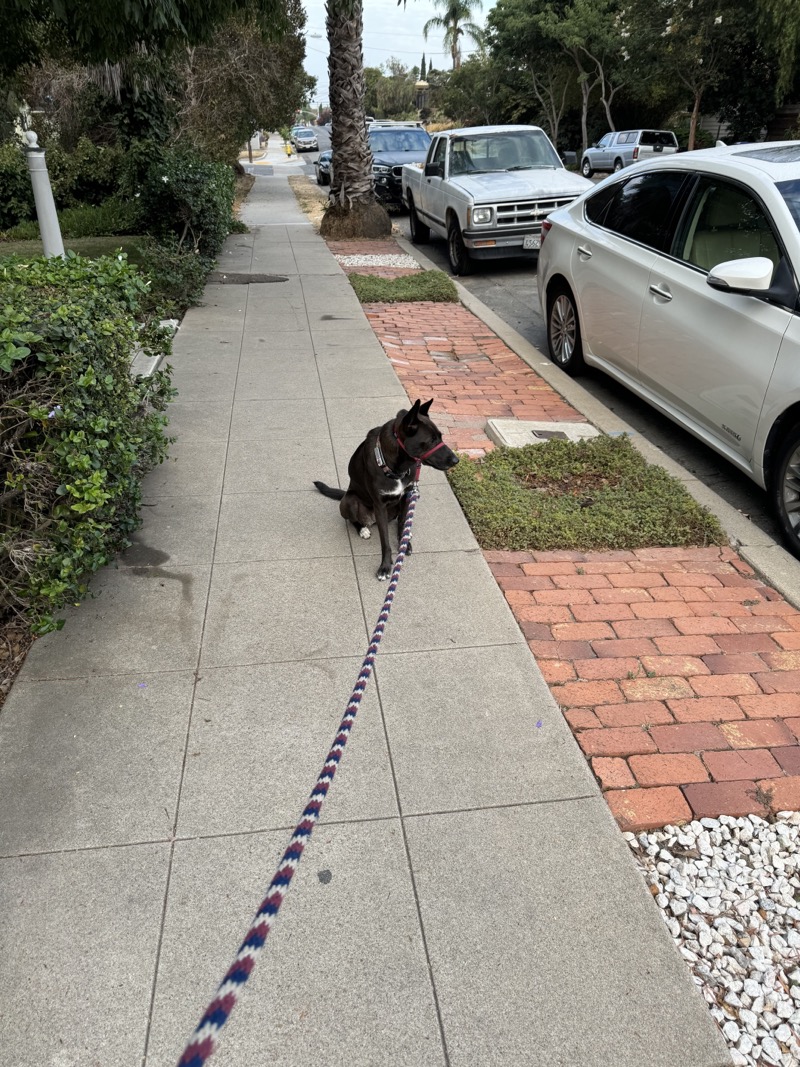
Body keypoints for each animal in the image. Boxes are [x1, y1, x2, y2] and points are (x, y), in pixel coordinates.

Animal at [315, 399, 460, 580]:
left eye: (441, 436)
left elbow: (402, 523)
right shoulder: (379, 505)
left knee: (399, 520)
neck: (397, 467)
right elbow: (385, 542)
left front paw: (405, 543)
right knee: (353, 519)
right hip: (349, 501)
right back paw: (362, 529)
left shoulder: (407, 495)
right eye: (431, 440)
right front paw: (385, 566)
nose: (456, 460)